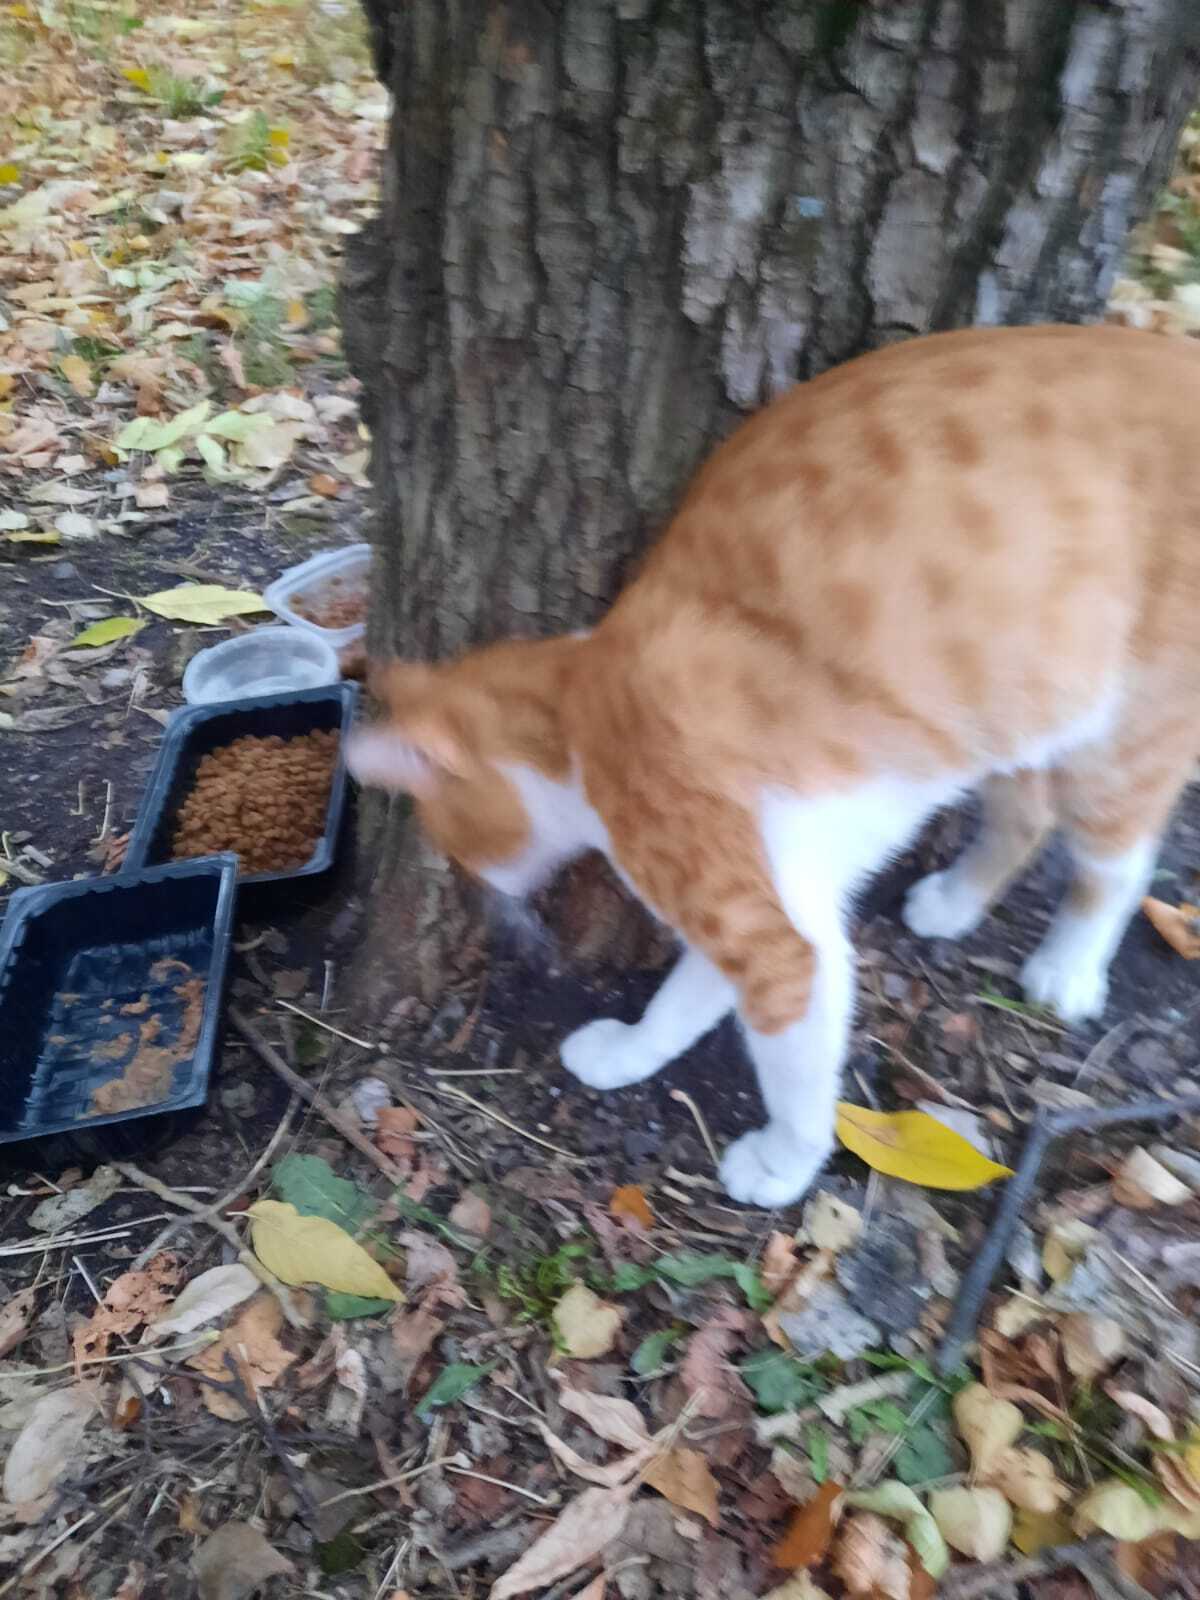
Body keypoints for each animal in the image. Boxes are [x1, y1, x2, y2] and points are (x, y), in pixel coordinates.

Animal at [345, 321, 1200, 1203]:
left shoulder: (773, 938)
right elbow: (684, 999)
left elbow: (795, 1071)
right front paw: (627, 1051)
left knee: (1118, 862)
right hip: (1016, 713)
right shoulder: (775, 902)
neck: (582, 709)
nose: (481, 894)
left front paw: (784, 1163)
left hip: (1128, 730)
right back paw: (956, 901)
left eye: (453, 840)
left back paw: (1068, 967)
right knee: (1025, 814)